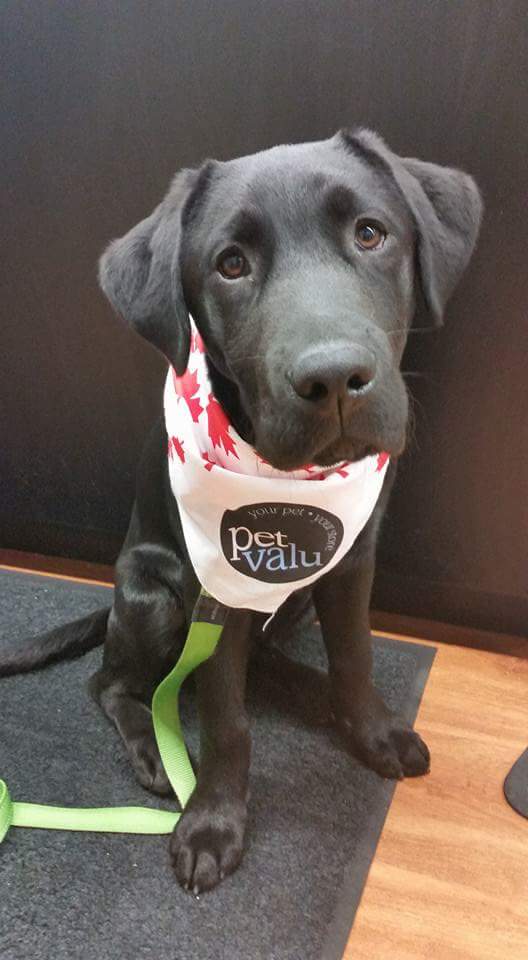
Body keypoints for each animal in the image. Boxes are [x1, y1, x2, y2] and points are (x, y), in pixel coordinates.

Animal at [2, 128, 482, 893]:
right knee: (112, 682)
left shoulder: (355, 560)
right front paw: (213, 822)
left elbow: (357, 657)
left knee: (264, 657)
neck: (292, 487)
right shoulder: (217, 590)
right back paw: (155, 750)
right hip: (153, 592)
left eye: (370, 233)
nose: (334, 377)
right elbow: (227, 717)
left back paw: (310, 688)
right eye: (231, 265)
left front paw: (372, 731)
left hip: (293, 601)